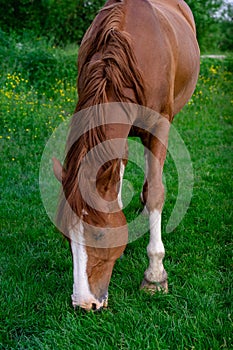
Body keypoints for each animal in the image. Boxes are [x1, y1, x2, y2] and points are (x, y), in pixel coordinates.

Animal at [52, 0, 199, 312]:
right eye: (66, 236)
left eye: (99, 235)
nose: (84, 304)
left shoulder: (159, 126)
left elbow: (156, 191)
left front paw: (155, 276)